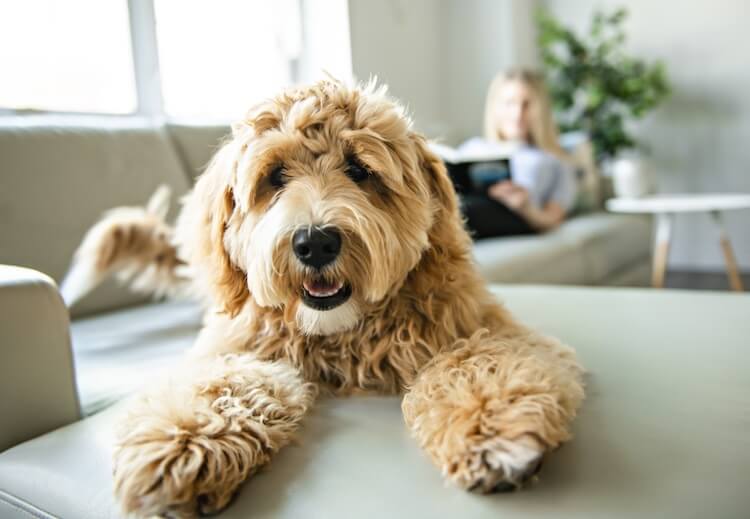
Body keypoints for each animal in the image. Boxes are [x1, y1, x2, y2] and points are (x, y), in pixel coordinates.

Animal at [61, 79, 584, 516]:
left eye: (359, 169)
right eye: (275, 176)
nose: (315, 243)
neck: (341, 335)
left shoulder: (482, 327)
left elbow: (477, 362)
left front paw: (492, 429)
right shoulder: (237, 348)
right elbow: (221, 384)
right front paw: (182, 446)